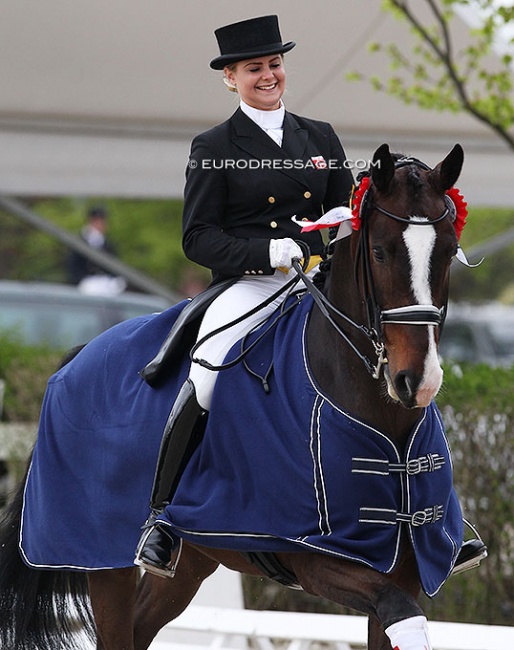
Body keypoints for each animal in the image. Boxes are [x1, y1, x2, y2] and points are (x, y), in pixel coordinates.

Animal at [1, 143, 468, 648]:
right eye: (380, 251)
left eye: (448, 252)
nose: (416, 380)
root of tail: (74, 359)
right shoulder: (317, 557)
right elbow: (402, 612)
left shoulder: (403, 565)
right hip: (102, 561)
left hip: (192, 561)